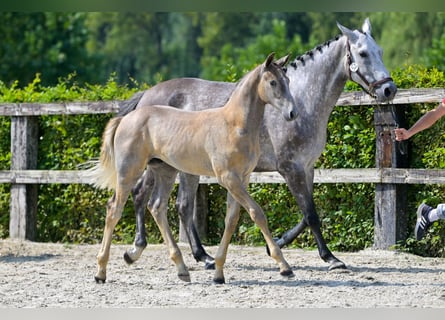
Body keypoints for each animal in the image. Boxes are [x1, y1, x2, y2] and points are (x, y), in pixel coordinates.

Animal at [89, 53, 298, 284]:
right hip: (129, 172)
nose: (292, 113)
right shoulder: (228, 178)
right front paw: (285, 266)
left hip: (165, 172)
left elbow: (231, 219)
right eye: (273, 82)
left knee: (156, 206)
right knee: (114, 209)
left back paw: (181, 269)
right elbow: (256, 213)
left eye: (288, 80)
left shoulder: (241, 179)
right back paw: (101, 271)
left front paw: (218, 272)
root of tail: (125, 118)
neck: (234, 124)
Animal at [118, 18, 396, 270]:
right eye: (363, 53)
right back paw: (156, 250)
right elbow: (310, 214)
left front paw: (278, 243)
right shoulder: (290, 169)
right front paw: (330, 258)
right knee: (160, 200)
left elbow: (307, 214)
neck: (302, 101)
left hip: (172, 167)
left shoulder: (307, 168)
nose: (389, 90)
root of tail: (147, 95)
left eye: (381, 51)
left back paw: (185, 254)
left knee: (163, 200)